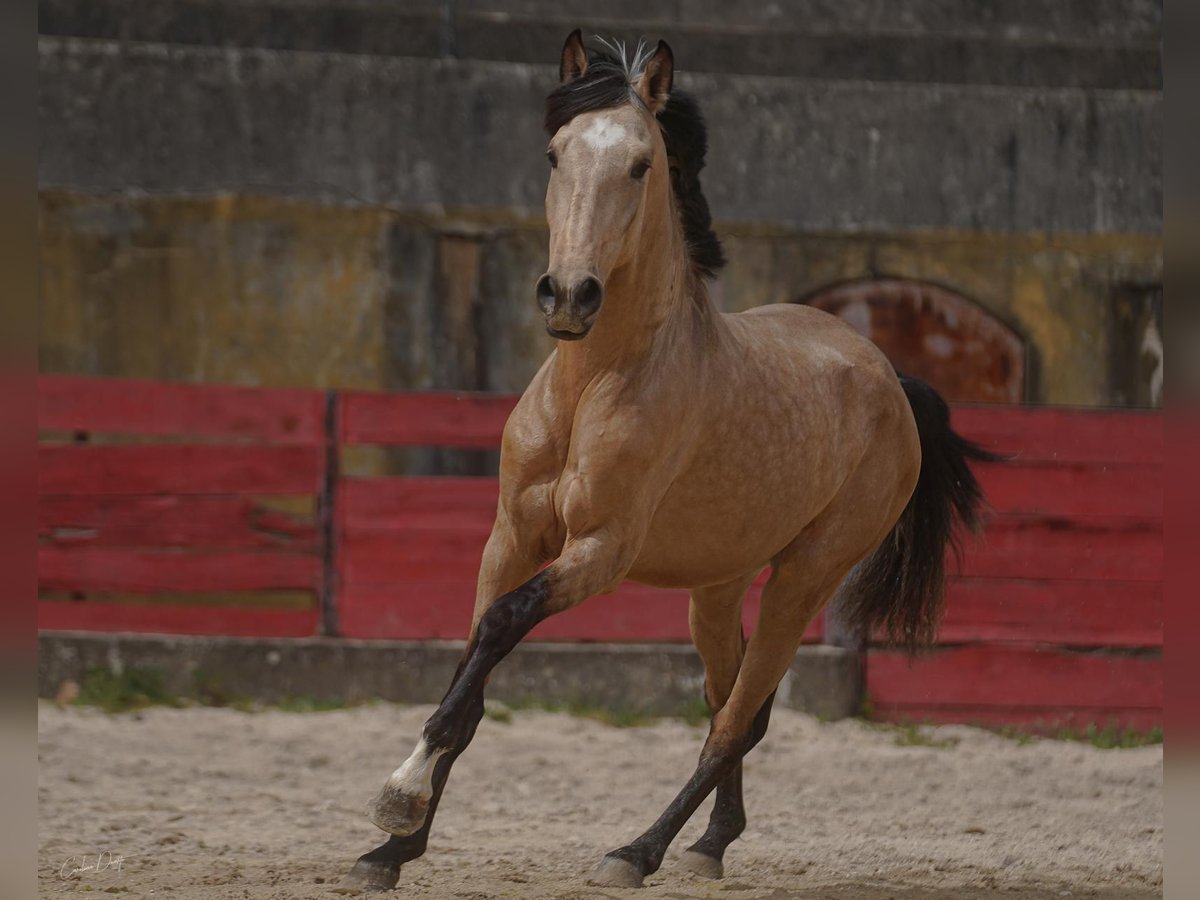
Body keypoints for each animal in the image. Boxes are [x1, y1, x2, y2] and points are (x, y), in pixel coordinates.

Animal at [340, 30, 993, 897]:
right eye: (554, 153)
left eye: (641, 164)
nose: (568, 296)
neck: (596, 384)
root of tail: (889, 376)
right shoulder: (510, 537)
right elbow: (473, 670)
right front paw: (392, 849)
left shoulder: (601, 551)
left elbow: (501, 629)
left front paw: (397, 798)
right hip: (715, 590)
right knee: (734, 703)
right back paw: (710, 844)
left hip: (806, 576)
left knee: (736, 720)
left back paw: (637, 851)